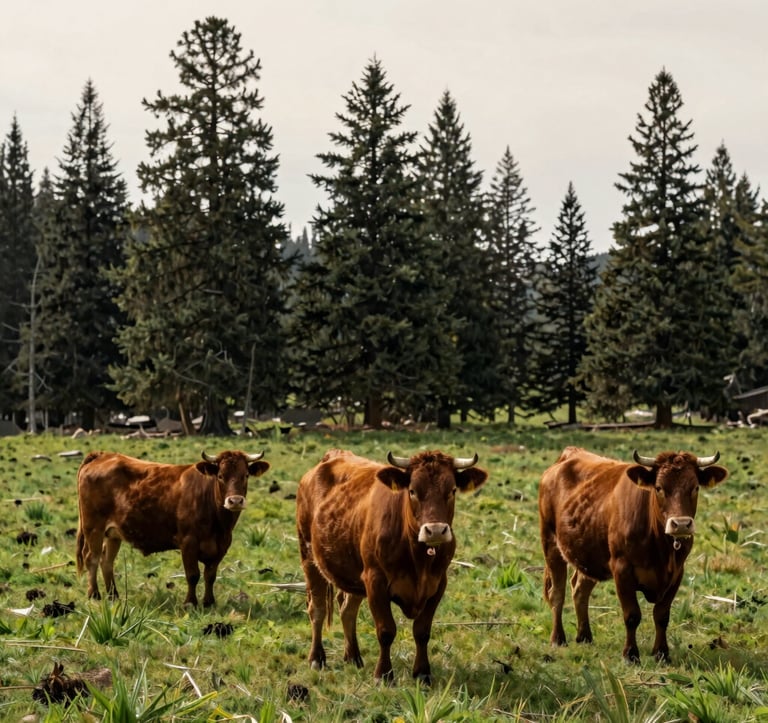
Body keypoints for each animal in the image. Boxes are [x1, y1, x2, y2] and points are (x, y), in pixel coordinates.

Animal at [76, 449, 269, 607]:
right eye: (221, 476)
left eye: (246, 475)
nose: (235, 501)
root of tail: (102, 455)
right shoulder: (188, 542)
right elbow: (193, 575)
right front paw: (190, 603)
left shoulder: (221, 546)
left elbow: (210, 575)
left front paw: (209, 602)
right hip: (93, 527)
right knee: (91, 558)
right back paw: (94, 595)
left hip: (113, 534)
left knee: (106, 561)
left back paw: (113, 596)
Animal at [296, 449, 487, 684]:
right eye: (413, 491)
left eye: (452, 490)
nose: (435, 531)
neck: (418, 558)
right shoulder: (375, 581)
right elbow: (386, 630)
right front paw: (383, 675)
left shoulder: (438, 584)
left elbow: (422, 631)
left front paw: (422, 673)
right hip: (309, 558)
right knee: (318, 609)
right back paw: (317, 658)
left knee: (347, 609)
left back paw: (353, 657)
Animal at [538, 447, 728, 662]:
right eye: (659, 488)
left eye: (695, 487)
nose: (680, 524)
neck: (660, 548)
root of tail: (570, 453)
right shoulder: (622, 570)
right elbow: (632, 615)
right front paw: (630, 654)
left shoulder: (677, 573)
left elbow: (662, 615)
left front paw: (661, 653)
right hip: (550, 543)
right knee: (557, 593)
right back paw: (558, 638)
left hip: (589, 553)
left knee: (580, 590)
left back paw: (584, 636)